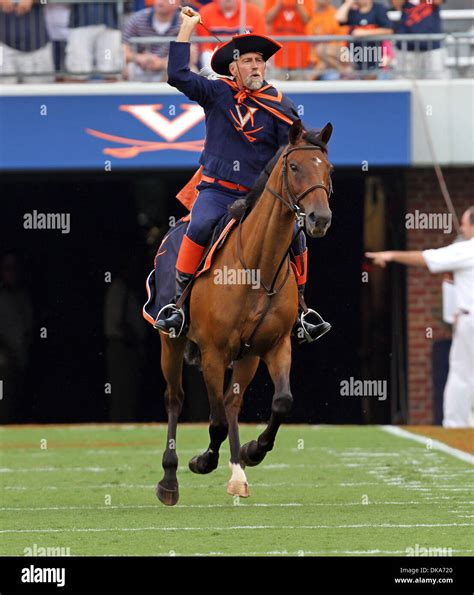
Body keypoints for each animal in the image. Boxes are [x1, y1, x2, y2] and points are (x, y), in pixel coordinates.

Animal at [156, 118, 334, 506]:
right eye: (294, 166)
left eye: (327, 169)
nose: (319, 218)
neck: (256, 266)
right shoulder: (212, 353)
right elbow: (216, 421)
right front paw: (202, 462)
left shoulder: (275, 345)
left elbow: (281, 402)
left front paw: (254, 450)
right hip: (171, 343)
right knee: (175, 399)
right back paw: (170, 478)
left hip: (248, 356)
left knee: (232, 402)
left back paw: (238, 473)